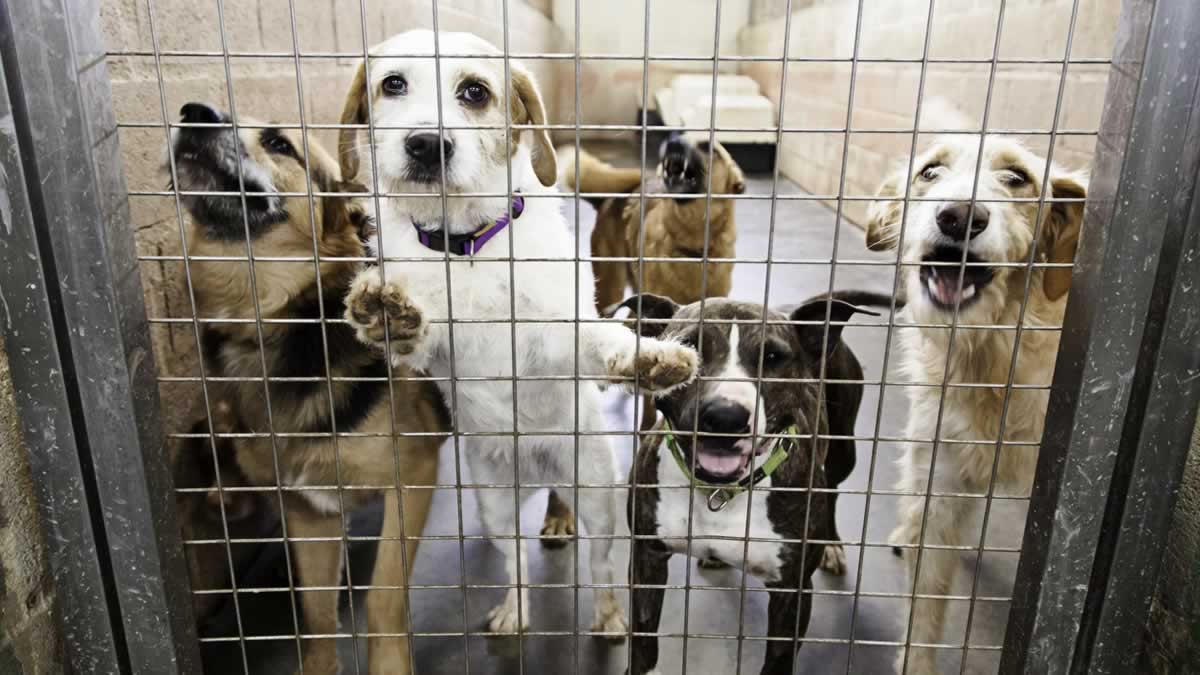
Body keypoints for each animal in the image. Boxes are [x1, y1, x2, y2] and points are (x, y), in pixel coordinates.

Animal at [166, 102, 448, 667]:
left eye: (280, 144)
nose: (194, 112)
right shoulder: (308, 508)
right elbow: (317, 618)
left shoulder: (413, 475)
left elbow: (383, 601)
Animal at [336, 30, 700, 634]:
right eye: (392, 83)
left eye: (475, 91)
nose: (425, 145)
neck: (470, 246)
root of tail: (533, 467)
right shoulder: (433, 342)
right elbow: (414, 329)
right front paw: (386, 313)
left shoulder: (556, 333)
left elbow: (600, 342)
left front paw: (648, 358)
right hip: (494, 505)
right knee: (517, 564)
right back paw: (515, 609)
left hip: (597, 496)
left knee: (601, 565)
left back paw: (608, 613)